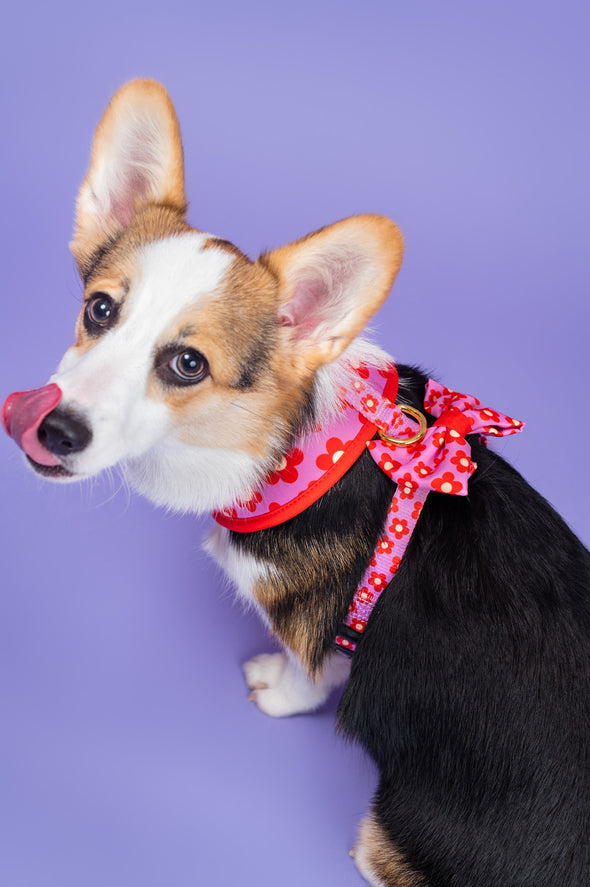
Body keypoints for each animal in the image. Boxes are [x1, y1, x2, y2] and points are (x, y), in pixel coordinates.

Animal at [1, 80, 590, 884]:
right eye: (99, 309)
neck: (288, 451)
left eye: (188, 364)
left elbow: (307, 674)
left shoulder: (312, 629)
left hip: (383, 831)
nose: (52, 431)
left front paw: (275, 693)